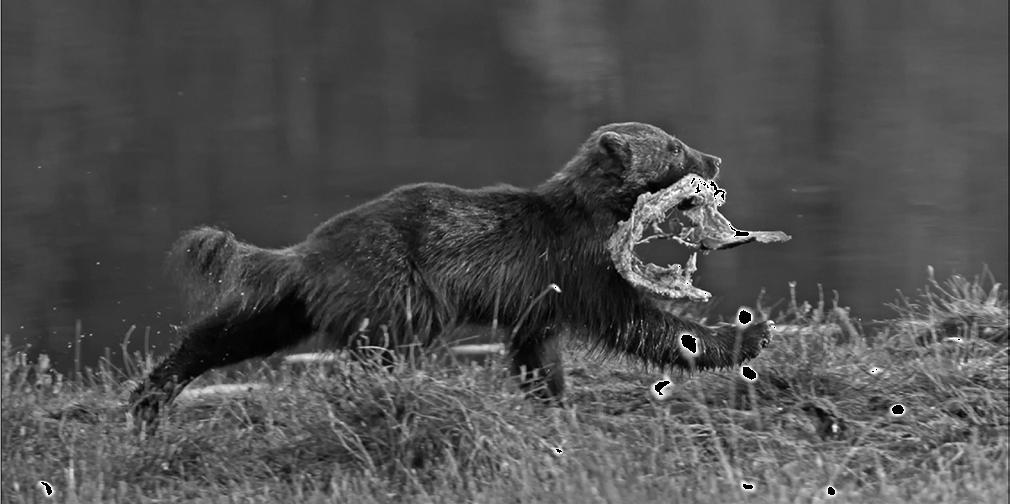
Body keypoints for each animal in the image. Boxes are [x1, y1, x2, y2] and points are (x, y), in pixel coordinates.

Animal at [132, 122, 771, 426]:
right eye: (674, 146)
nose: (713, 158)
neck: (597, 214)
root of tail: (311, 249)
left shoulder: (541, 295)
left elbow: (537, 349)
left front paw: (553, 401)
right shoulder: (582, 265)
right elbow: (638, 321)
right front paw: (746, 333)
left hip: (307, 299)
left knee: (233, 330)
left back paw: (151, 394)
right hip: (393, 289)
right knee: (371, 349)